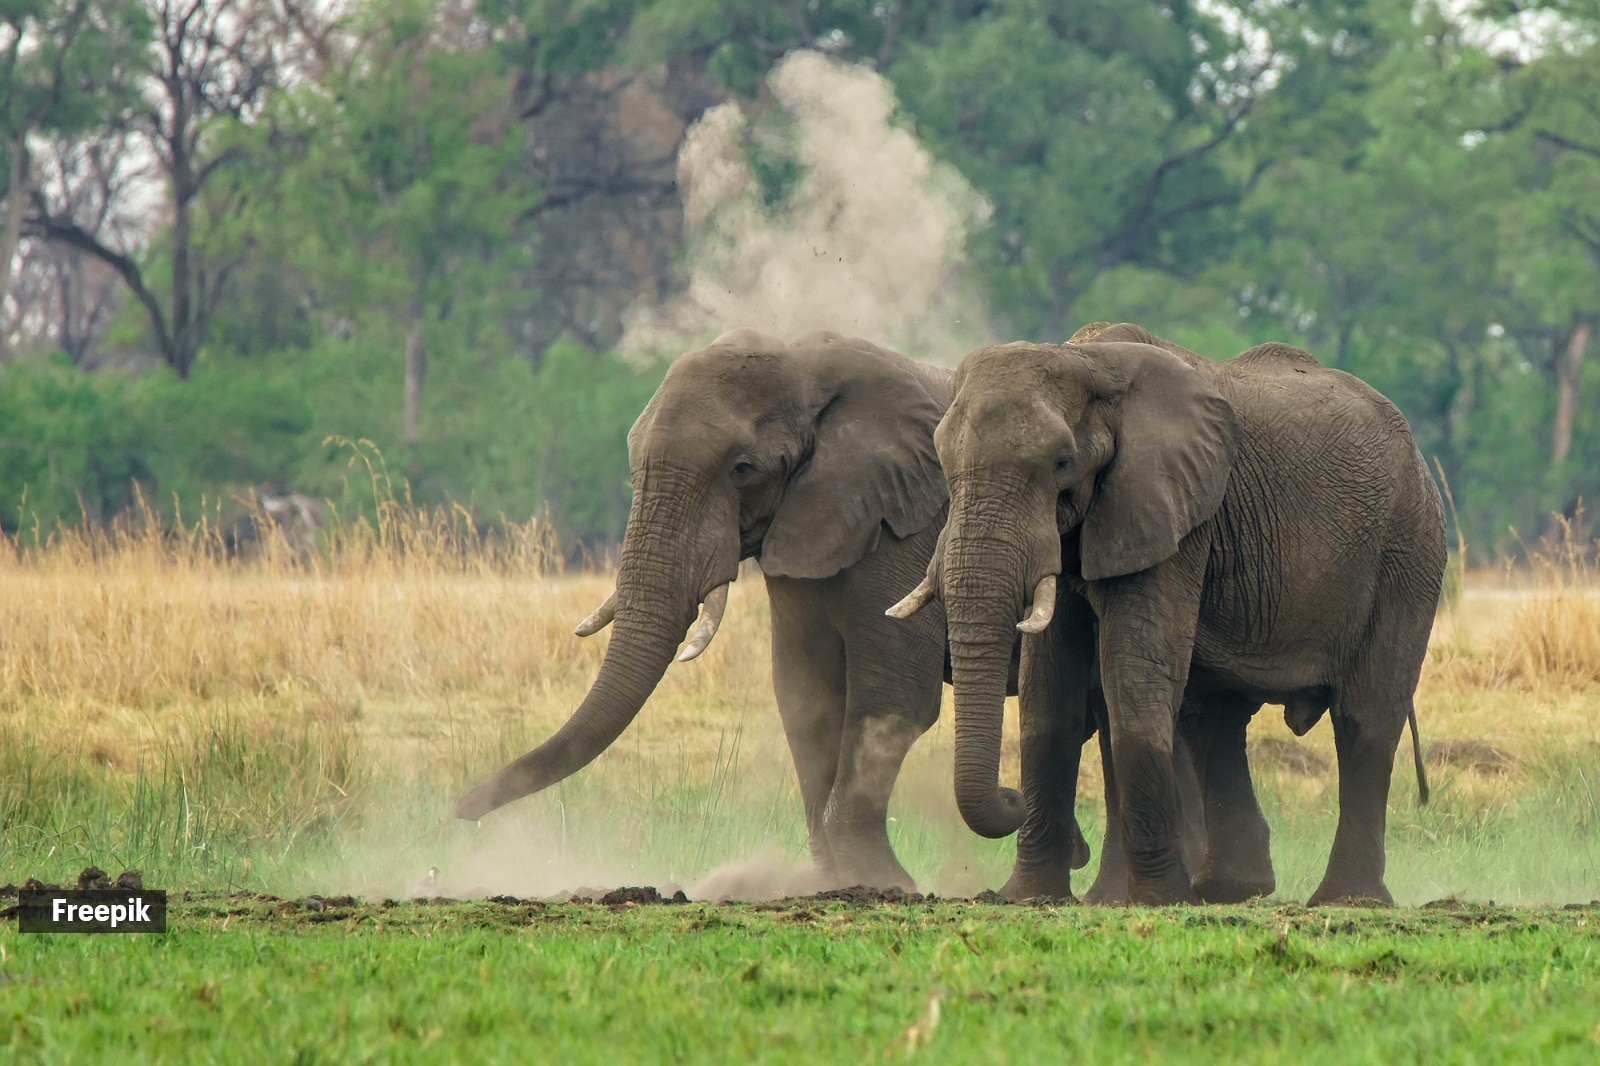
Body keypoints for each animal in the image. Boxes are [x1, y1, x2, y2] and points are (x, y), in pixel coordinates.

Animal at [455, 328, 975, 890]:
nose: (462, 810)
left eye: (742, 469)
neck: (806, 362)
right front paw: (837, 882)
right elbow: (804, 695)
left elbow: (893, 698)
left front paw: (885, 883)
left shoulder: (906, 527)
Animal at [891, 322, 1442, 906]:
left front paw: (1157, 900)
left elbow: (1133, 672)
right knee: (1215, 719)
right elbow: (1049, 691)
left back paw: (1345, 900)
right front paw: (1029, 897)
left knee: (1365, 715)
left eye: (1061, 463)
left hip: (1408, 549)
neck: (1087, 360)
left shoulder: (1172, 512)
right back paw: (1228, 889)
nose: (1009, 796)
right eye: (943, 463)